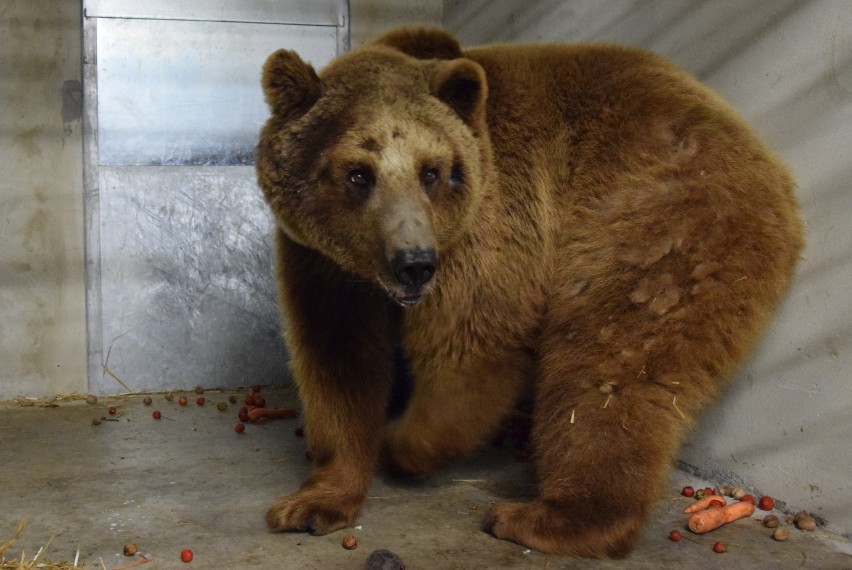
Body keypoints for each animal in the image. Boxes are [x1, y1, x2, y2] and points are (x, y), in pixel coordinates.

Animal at [255, 26, 804, 556]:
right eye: (357, 174)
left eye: (433, 171)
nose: (414, 264)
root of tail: (775, 174)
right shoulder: (321, 264)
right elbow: (339, 361)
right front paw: (314, 501)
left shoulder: (489, 228)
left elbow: (474, 348)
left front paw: (400, 442)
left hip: (653, 223)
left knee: (602, 366)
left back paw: (546, 518)